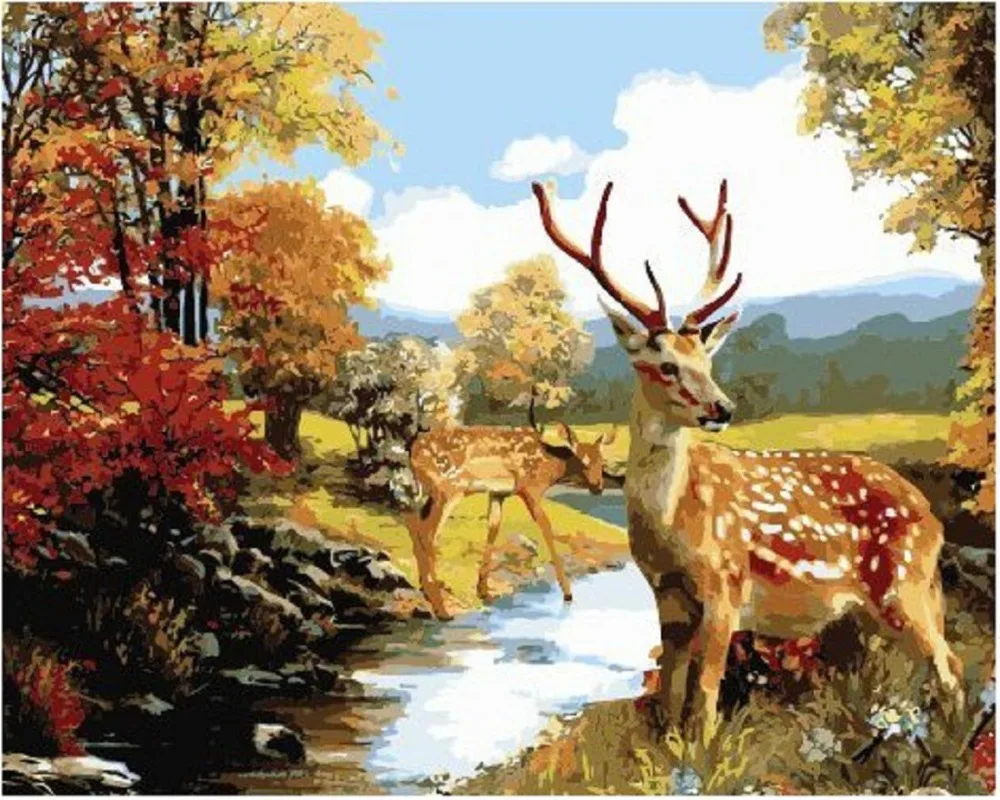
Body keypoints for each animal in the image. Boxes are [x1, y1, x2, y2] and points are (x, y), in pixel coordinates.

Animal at [404, 399, 617, 619]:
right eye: (582, 461)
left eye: (602, 462)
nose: (598, 487)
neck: (549, 466)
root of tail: (413, 452)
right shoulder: (529, 488)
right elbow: (546, 528)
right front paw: (567, 593)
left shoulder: (499, 493)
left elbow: (493, 529)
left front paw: (483, 591)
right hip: (448, 489)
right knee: (428, 532)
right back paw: (441, 609)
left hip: (431, 492)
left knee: (414, 523)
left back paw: (426, 591)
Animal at [531, 177, 964, 743]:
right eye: (666, 365)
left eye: (706, 360)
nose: (722, 408)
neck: (672, 529)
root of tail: (931, 515)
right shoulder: (666, 597)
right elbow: (670, 694)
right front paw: (671, 751)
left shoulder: (726, 585)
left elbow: (705, 694)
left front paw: (700, 753)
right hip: (882, 605)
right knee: (931, 667)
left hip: (905, 583)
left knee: (947, 666)